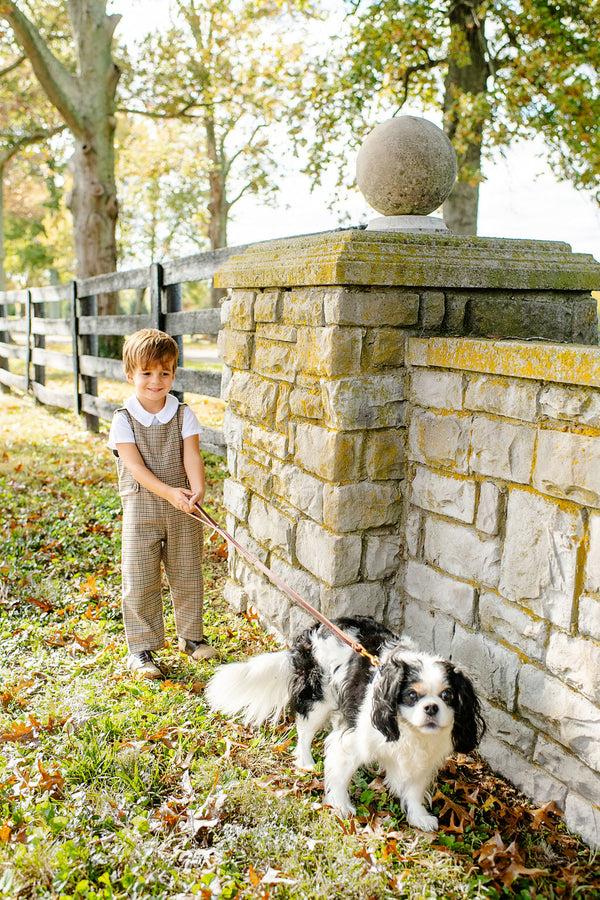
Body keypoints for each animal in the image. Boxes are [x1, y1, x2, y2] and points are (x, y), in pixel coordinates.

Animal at [204, 616, 486, 832]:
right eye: (411, 696)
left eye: (447, 696)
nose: (431, 708)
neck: (409, 731)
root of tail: (315, 627)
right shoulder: (352, 742)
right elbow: (339, 774)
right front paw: (341, 806)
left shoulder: (422, 760)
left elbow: (414, 790)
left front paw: (418, 817)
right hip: (319, 697)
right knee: (305, 730)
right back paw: (306, 761)